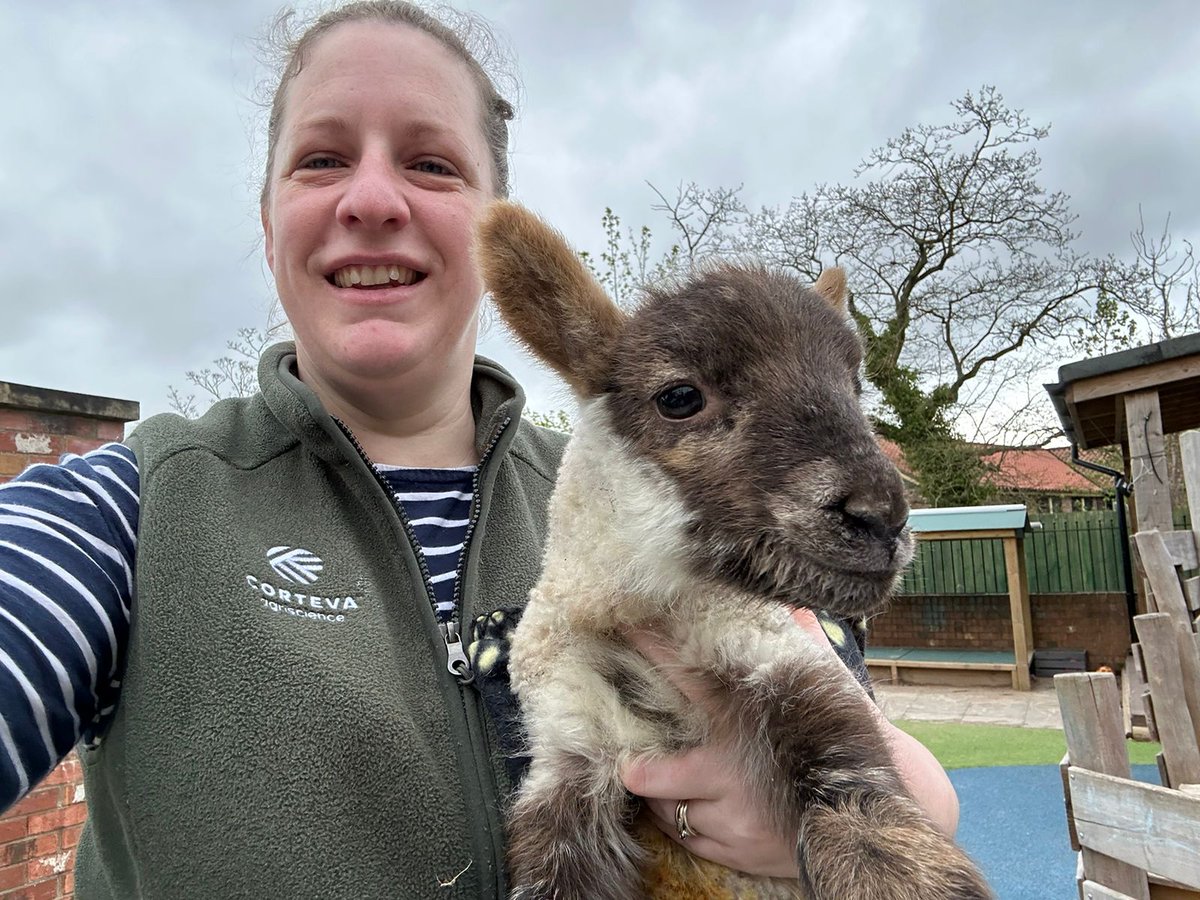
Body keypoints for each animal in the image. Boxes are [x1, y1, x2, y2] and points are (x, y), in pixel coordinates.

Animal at [476, 201, 993, 900]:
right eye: (678, 397)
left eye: (856, 385)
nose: (881, 516)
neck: (629, 608)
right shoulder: (569, 742)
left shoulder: (783, 661)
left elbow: (860, 806)